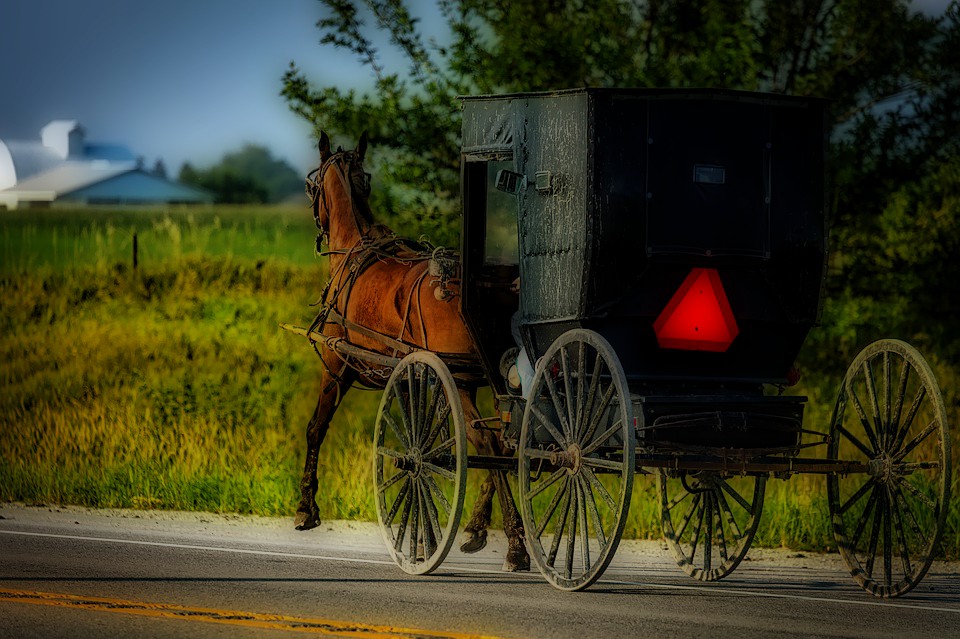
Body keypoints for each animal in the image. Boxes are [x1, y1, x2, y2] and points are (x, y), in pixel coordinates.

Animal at [294, 132, 528, 572]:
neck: (355, 249)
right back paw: (478, 529)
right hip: (496, 381)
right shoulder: (409, 378)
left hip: (463, 383)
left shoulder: (336, 367)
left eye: (311, 186)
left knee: (489, 444)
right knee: (510, 443)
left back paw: (516, 544)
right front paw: (423, 536)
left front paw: (305, 508)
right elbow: (423, 446)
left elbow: (316, 428)